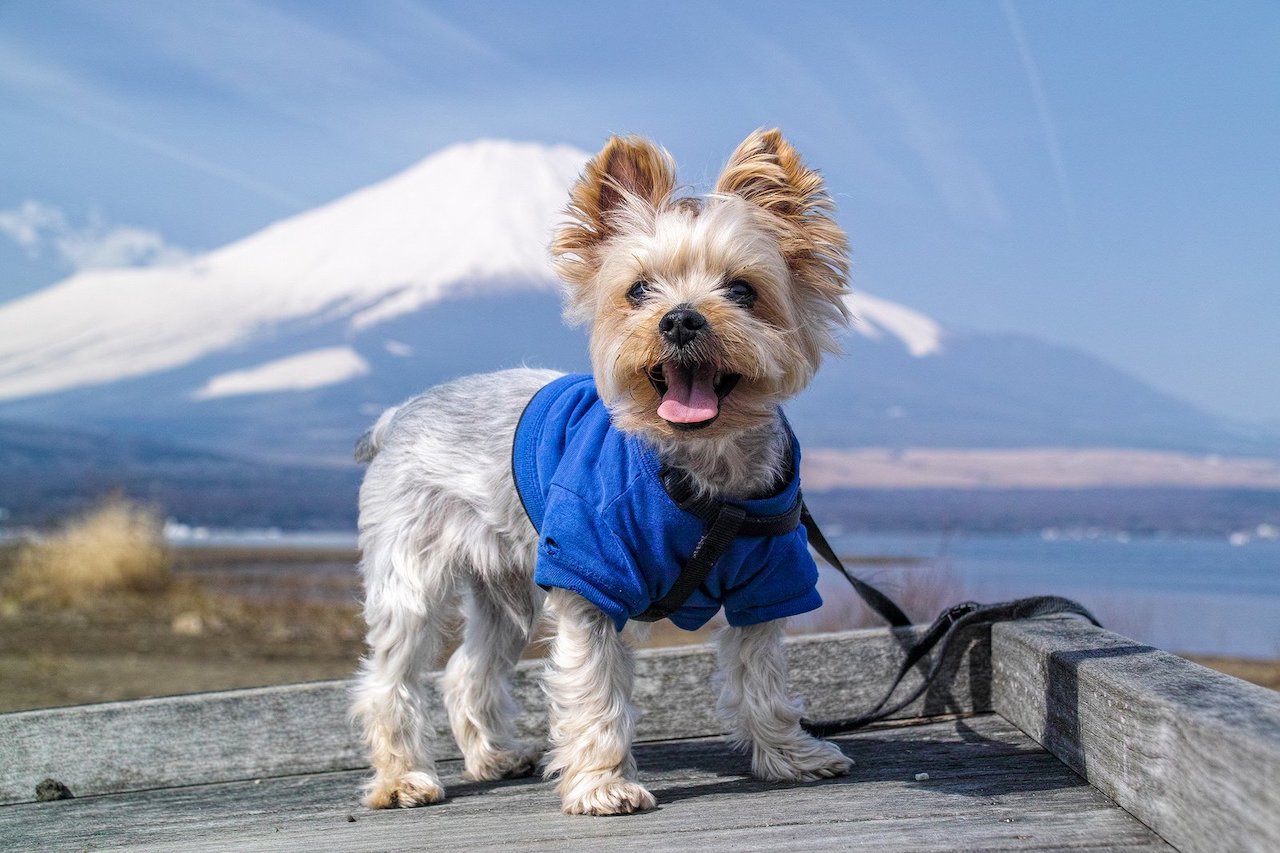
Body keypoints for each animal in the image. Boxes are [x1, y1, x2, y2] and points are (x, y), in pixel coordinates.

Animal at [350, 129, 855, 814]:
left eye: (742, 290)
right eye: (639, 290)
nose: (681, 318)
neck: (698, 471)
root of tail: (397, 415)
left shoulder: (769, 579)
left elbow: (764, 679)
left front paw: (791, 757)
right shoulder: (591, 575)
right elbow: (593, 690)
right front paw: (603, 785)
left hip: (505, 583)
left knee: (465, 670)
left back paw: (496, 757)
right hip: (414, 573)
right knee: (390, 677)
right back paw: (403, 779)